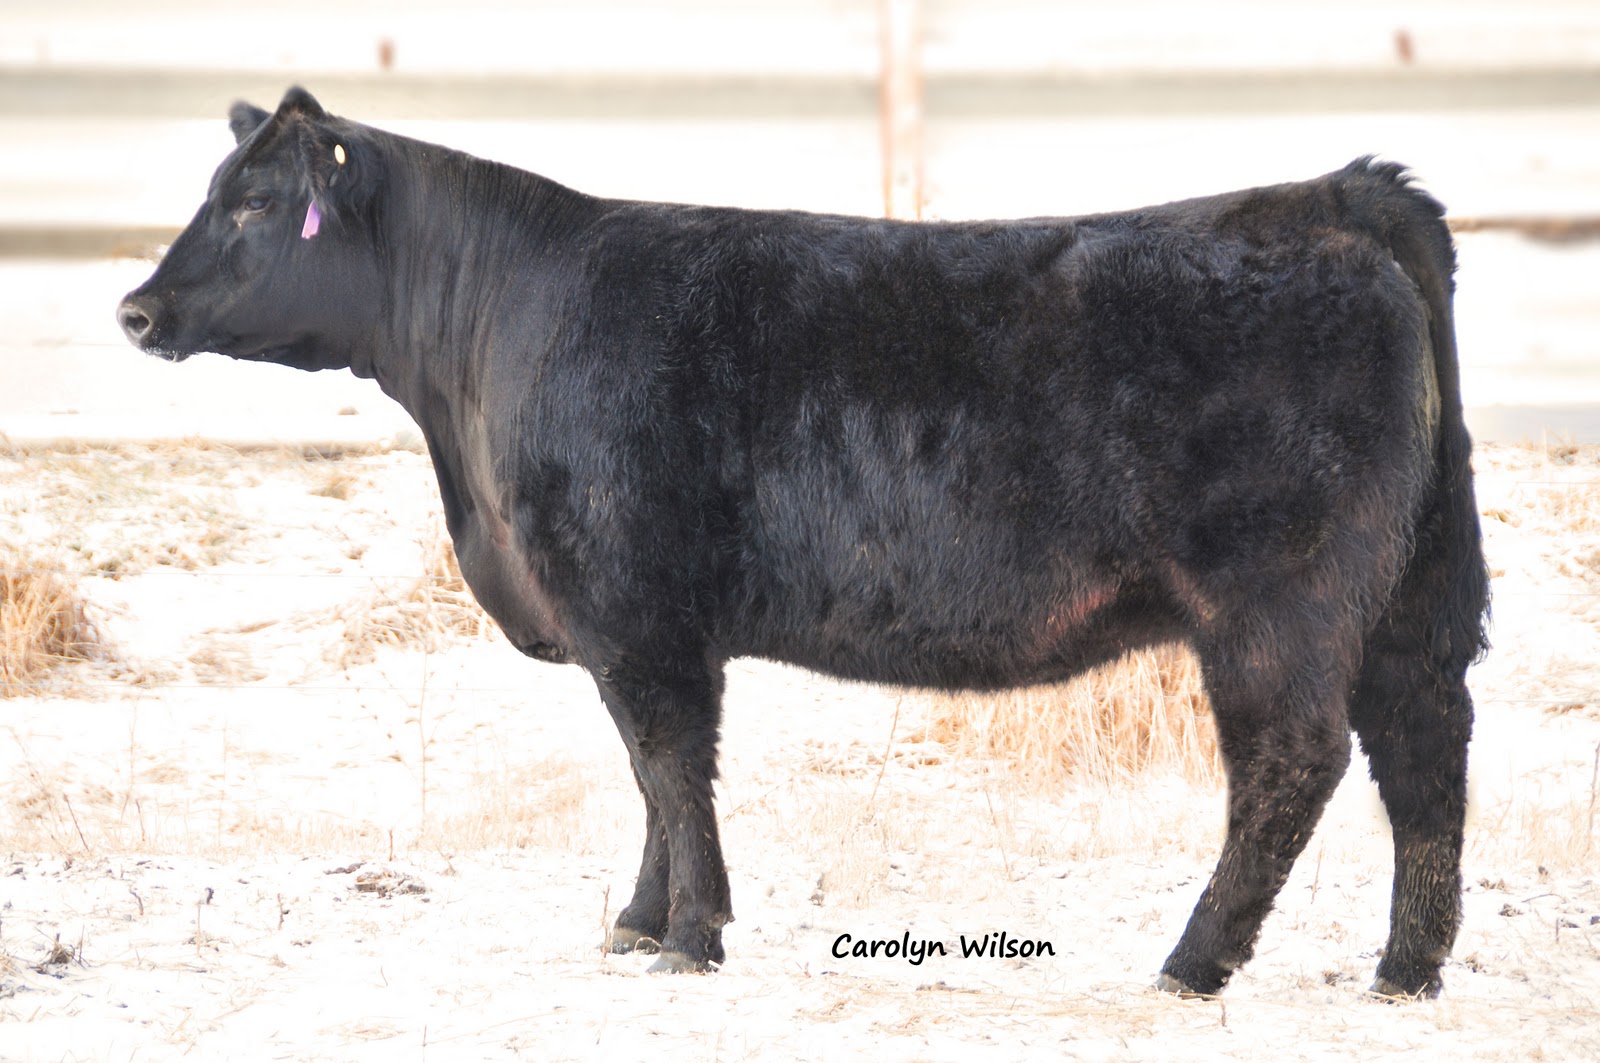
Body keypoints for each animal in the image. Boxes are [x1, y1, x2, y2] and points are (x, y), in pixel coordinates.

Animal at [118, 87, 1489, 998]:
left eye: (253, 204)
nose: (135, 310)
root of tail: (1331, 199)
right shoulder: (637, 625)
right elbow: (651, 779)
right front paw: (637, 922)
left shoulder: (634, 610)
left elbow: (669, 766)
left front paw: (686, 937)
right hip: (1403, 601)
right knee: (1424, 753)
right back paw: (1404, 969)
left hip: (1277, 606)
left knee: (1293, 764)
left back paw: (1192, 963)